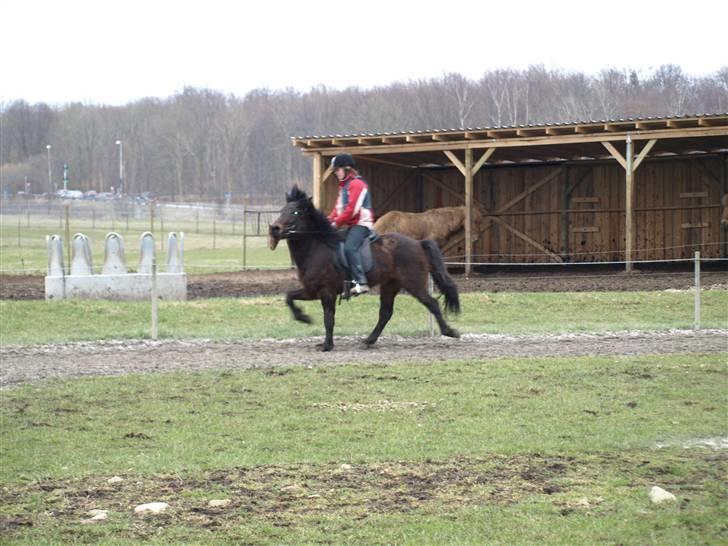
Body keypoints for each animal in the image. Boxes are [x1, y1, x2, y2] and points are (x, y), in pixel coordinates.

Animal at [268, 185, 460, 350]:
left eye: (296, 212)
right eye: (282, 211)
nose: (275, 229)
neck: (317, 247)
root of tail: (418, 243)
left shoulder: (327, 292)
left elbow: (328, 319)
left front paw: (327, 345)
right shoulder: (312, 290)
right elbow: (289, 297)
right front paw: (304, 318)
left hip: (414, 284)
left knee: (432, 303)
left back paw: (450, 332)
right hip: (390, 285)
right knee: (385, 313)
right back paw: (369, 340)